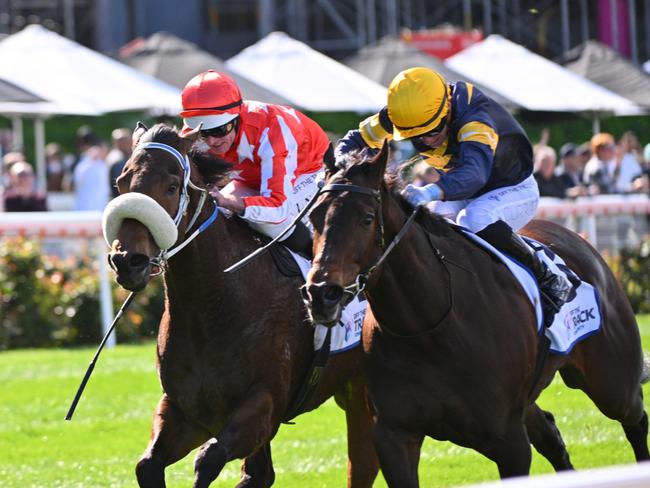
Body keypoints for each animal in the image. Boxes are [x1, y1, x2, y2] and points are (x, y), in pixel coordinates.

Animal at [104, 125, 378, 488]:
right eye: (121, 183)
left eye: (172, 186)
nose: (127, 261)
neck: (215, 305)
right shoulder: (185, 409)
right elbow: (147, 465)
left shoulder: (264, 404)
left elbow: (208, 458)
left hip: (362, 388)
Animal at [302, 146, 644, 488]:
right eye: (314, 216)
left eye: (367, 218)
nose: (322, 294)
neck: (428, 328)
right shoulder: (394, 437)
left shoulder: (510, 442)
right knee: (551, 435)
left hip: (612, 382)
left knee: (636, 419)